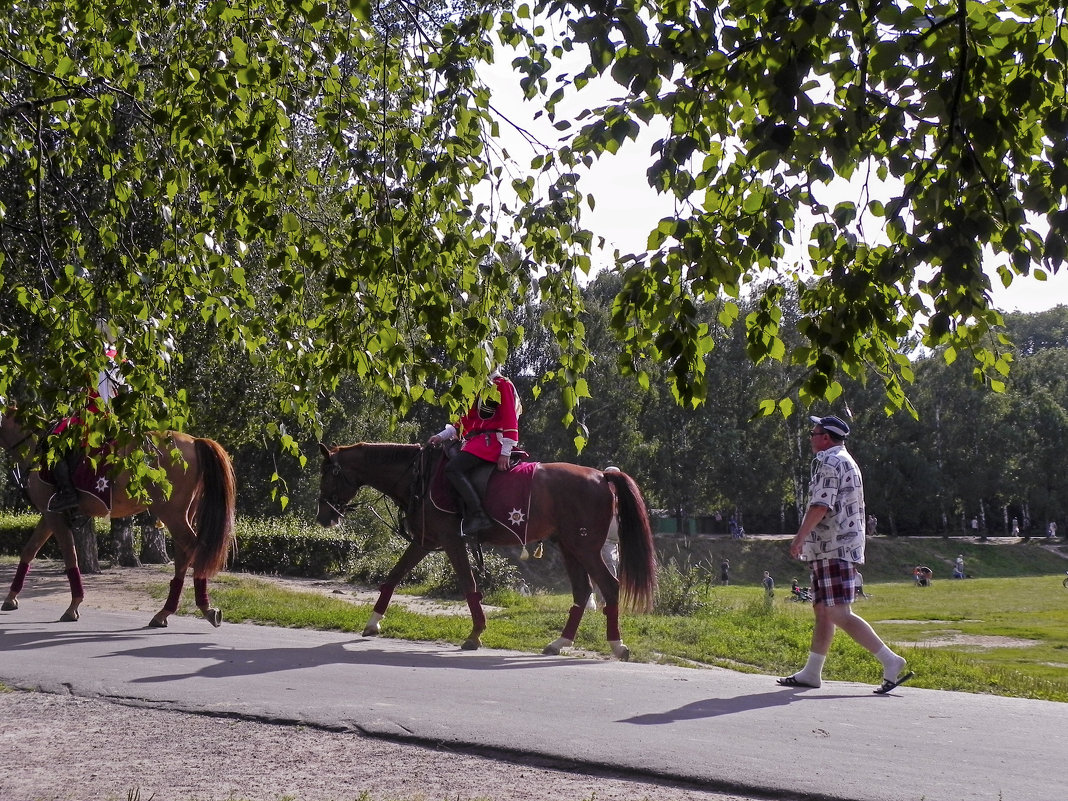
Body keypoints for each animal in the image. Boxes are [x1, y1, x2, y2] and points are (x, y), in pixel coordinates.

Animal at [1, 407, 236, 627]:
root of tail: (194, 441)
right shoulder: (48, 516)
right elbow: (29, 551)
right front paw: (11, 598)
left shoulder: (54, 515)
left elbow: (70, 556)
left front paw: (73, 606)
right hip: (183, 514)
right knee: (184, 556)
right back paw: (165, 613)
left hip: (172, 513)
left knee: (195, 549)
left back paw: (203, 608)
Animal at [311, 442, 653, 662]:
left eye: (328, 474)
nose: (324, 517)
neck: (419, 476)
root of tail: (601, 475)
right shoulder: (424, 541)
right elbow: (393, 578)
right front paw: (373, 621)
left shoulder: (451, 540)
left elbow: (468, 584)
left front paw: (475, 634)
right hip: (569, 547)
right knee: (583, 592)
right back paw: (559, 642)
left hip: (586, 547)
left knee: (609, 586)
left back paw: (617, 645)